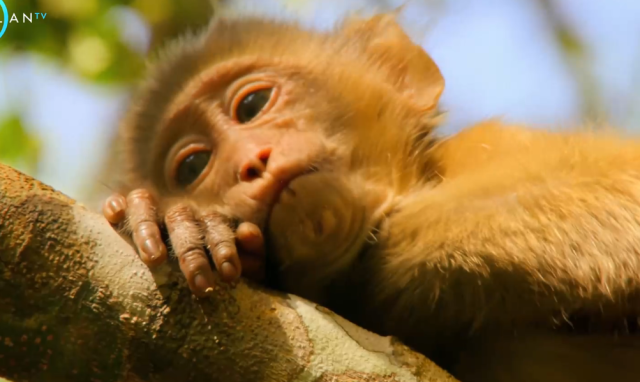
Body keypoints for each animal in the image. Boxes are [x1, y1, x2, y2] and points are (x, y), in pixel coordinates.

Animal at [102, 13, 640, 382]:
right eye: (193, 166)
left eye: (252, 104)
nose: (251, 162)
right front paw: (172, 223)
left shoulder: (493, 146)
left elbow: (621, 197)